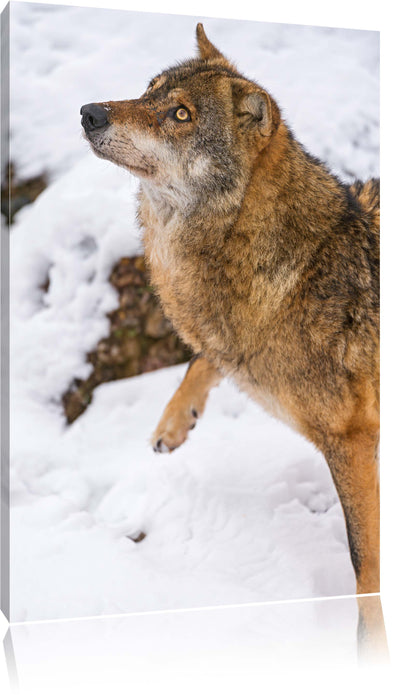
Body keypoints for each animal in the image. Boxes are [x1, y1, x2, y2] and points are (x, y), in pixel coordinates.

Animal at [81, 26, 380, 596]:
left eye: (181, 115)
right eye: (149, 90)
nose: (89, 112)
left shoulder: (353, 442)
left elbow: (365, 561)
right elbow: (204, 357)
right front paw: (174, 422)